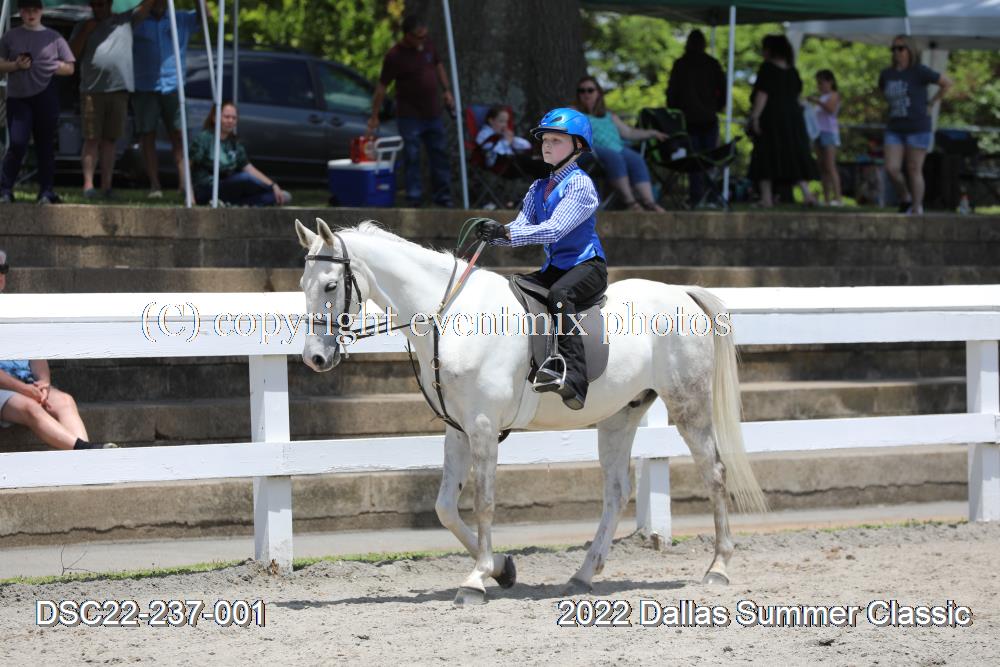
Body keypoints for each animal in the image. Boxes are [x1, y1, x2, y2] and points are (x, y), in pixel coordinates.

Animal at [295, 218, 767, 606]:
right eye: (303, 283)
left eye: (331, 286)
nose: (315, 358)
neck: (451, 316)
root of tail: (681, 292)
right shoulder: (458, 429)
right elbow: (445, 506)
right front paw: (502, 569)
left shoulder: (483, 427)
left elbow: (484, 502)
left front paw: (477, 580)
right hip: (621, 415)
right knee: (616, 491)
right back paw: (582, 575)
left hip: (689, 405)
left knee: (714, 473)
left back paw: (718, 568)